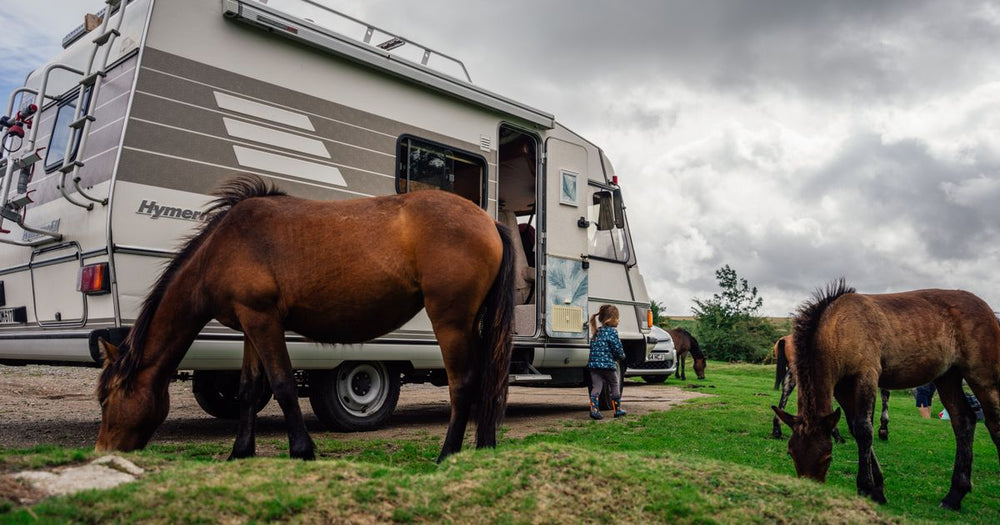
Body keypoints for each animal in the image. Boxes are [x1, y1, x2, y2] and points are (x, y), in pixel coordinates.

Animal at [96, 175, 516, 463]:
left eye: (107, 397)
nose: (103, 451)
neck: (221, 248)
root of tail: (488, 222)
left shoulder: (264, 321)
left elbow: (282, 385)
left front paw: (302, 450)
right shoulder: (251, 324)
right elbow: (248, 388)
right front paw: (240, 452)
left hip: (451, 321)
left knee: (463, 384)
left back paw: (447, 456)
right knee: (486, 381)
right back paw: (484, 449)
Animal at [773, 281, 1000, 510]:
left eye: (827, 457)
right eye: (791, 454)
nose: (810, 491)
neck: (839, 326)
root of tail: (987, 308)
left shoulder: (867, 375)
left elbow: (864, 430)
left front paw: (865, 486)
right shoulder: (842, 388)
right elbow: (855, 428)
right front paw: (878, 489)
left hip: (982, 377)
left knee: (993, 422)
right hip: (948, 377)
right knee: (963, 420)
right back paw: (954, 495)